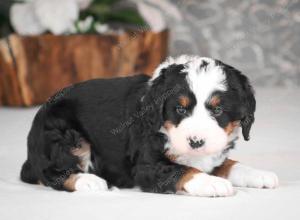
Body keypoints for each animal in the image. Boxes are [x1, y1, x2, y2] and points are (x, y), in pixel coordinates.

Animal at [20, 55, 278, 196]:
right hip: (62, 133)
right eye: (180, 109)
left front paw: (260, 175)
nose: (196, 142)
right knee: (51, 172)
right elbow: (182, 170)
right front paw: (212, 183)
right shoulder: (146, 165)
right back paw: (89, 180)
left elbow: (230, 164)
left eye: (217, 110)